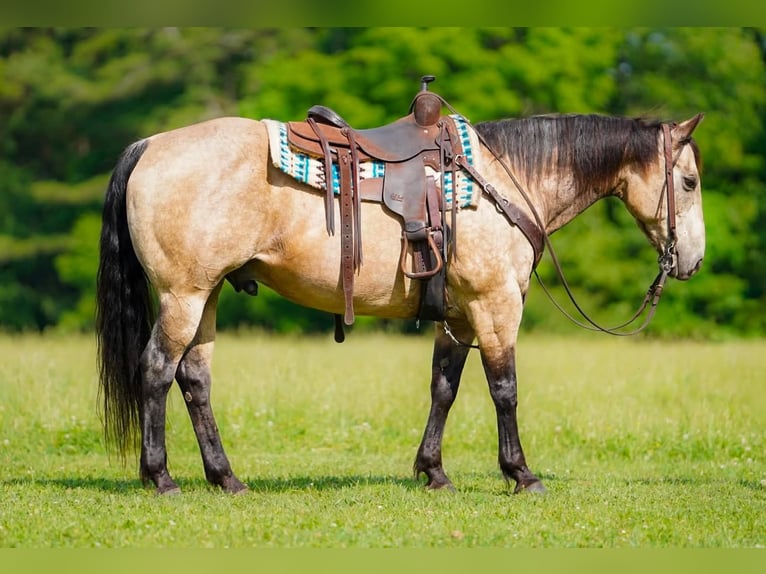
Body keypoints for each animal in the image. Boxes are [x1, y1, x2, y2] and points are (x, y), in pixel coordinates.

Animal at [95, 104, 705, 495]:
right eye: (691, 182)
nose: (693, 261)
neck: (504, 180)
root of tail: (150, 145)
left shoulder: (460, 316)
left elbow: (444, 388)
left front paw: (433, 472)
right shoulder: (495, 306)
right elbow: (504, 390)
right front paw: (521, 474)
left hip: (207, 296)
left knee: (194, 380)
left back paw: (226, 479)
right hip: (184, 295)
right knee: (157, 370)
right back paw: (162, 478)